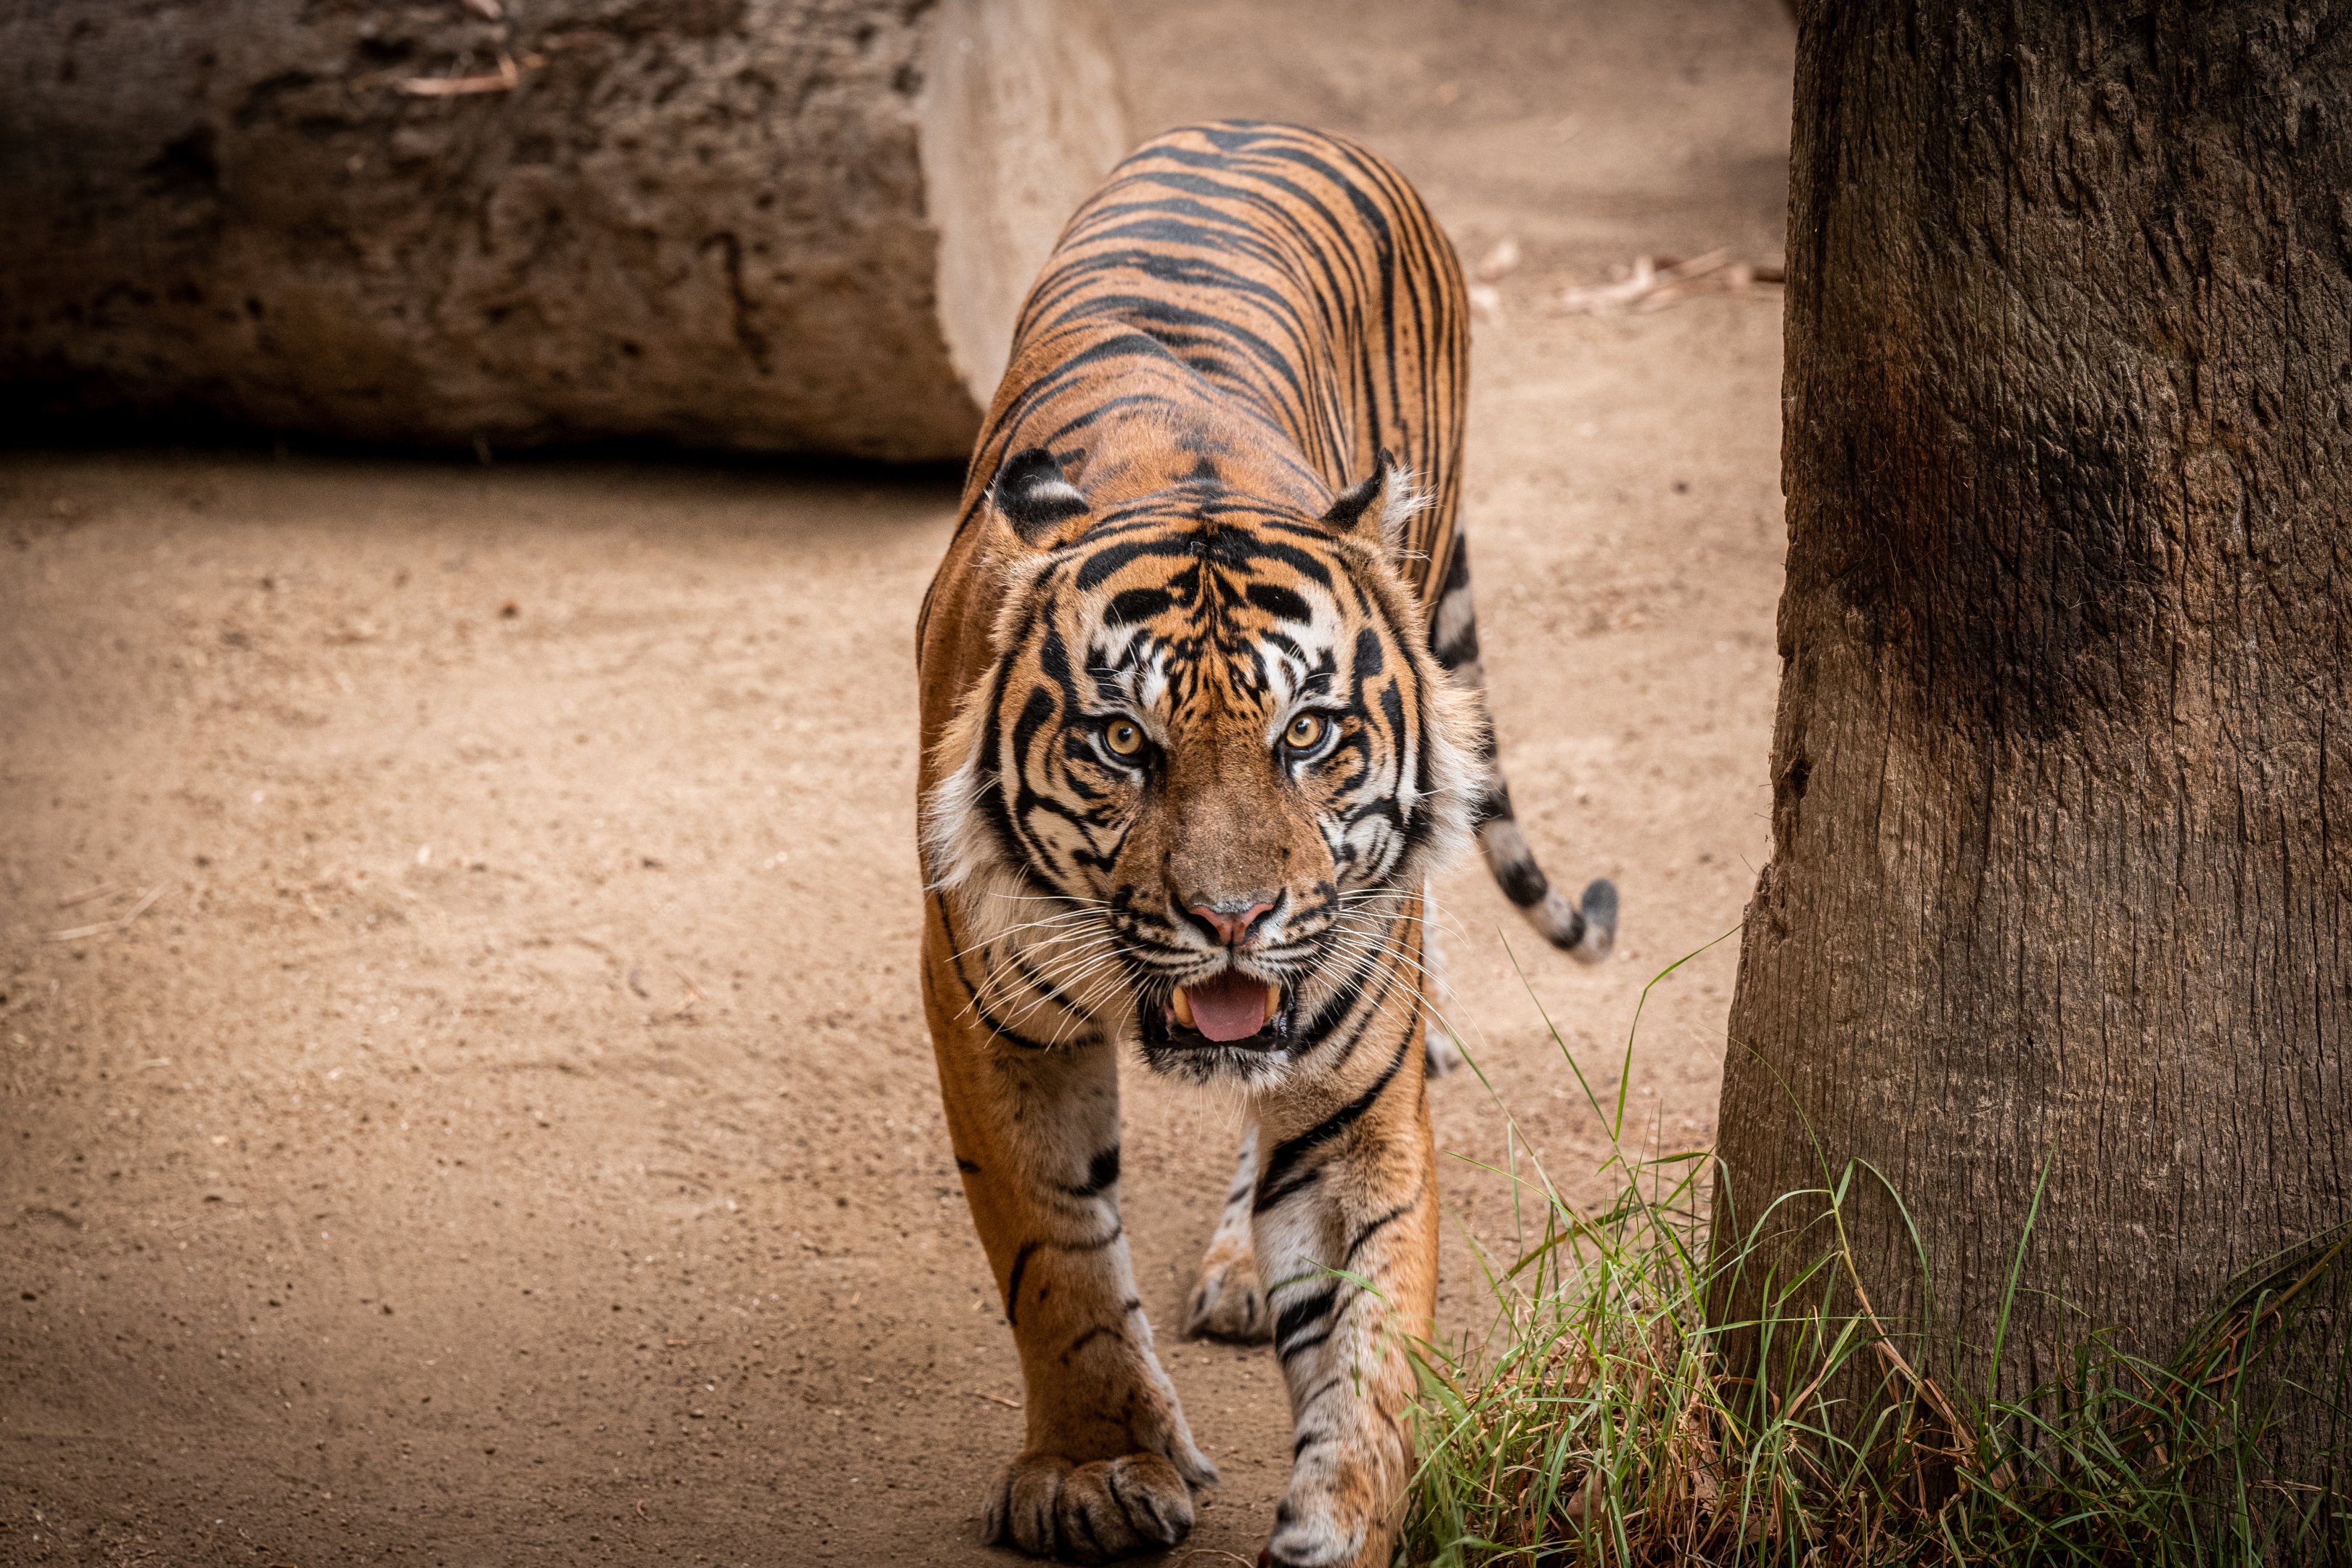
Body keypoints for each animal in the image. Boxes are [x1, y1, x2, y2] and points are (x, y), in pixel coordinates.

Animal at [915, 120, 1617, 1567]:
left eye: (1309, 734)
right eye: (1122, 742)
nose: (1233, 919)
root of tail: (1270, 123)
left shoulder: (1351, 1074)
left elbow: (1367, 1339)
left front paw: (1341, 1524)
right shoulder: (988, 1013)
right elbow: (1055, 1257)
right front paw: (1097, 1470)